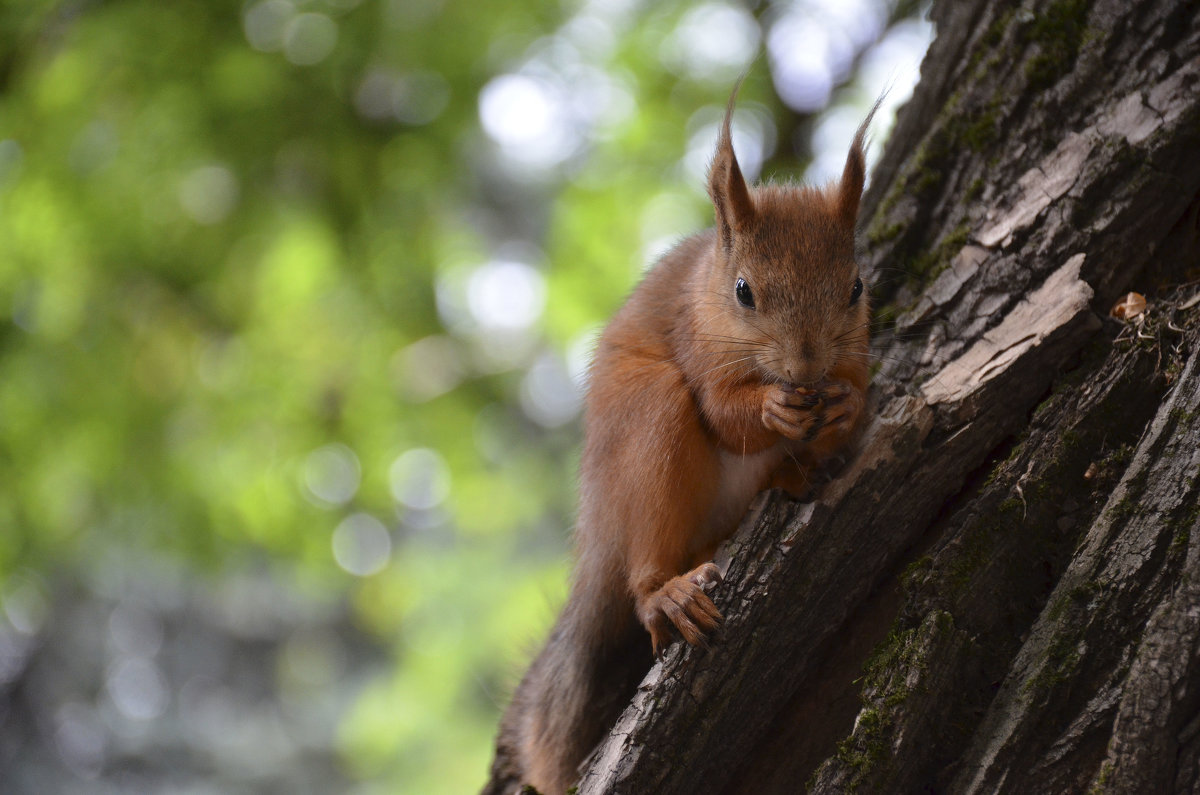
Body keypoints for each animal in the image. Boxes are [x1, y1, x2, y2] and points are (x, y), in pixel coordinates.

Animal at [484, 87, 873, 795]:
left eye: (856, 287)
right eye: (744, 291)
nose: (805, 368)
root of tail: (598, 530)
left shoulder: (855, 353)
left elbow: (857, 391)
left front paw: (845, 406)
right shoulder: (695, 341)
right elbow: (723, 415)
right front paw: (770, 407)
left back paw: (794, 477)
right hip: (648, 424)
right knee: (645, 568)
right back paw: (666, 591)